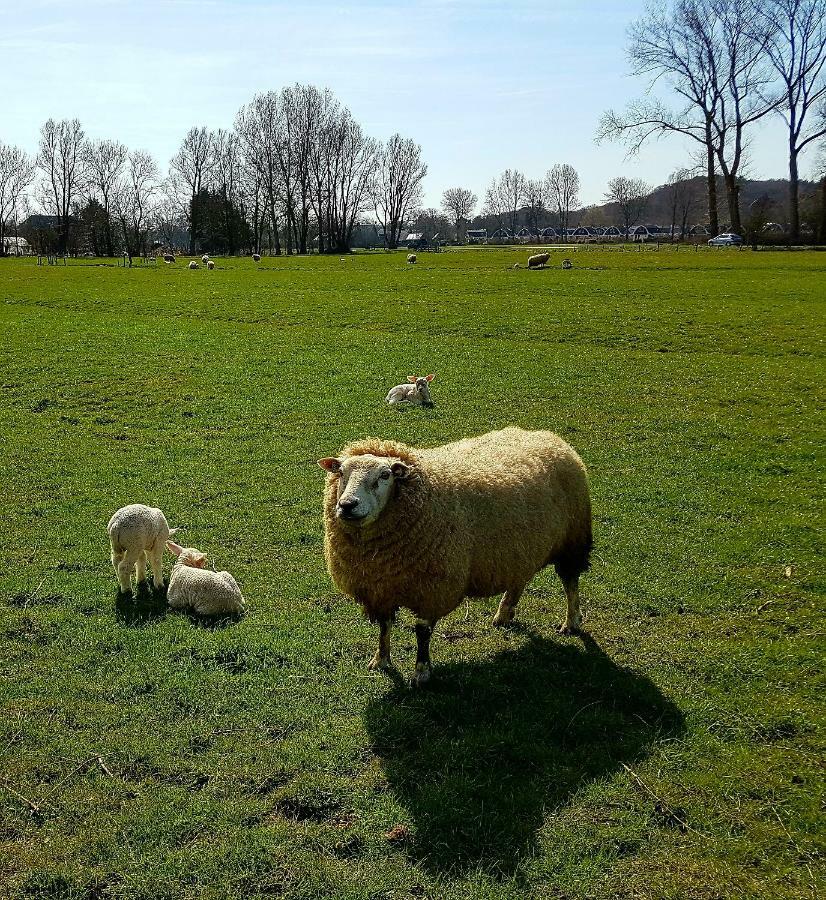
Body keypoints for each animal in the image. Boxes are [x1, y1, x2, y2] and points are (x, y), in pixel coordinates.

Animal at [318, 426, 592, 684]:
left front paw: (422, 673)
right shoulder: (380, 590)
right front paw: (380, 660)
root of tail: (548, 436)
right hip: (519, 548)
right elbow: (384, 627)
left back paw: (571, 622)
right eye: (340, 472)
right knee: (519, 580)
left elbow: (422, 633)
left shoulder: (433, 589)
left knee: (570, 582)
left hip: (572, 539)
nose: (347, 505)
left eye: (385, 475)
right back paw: (504, 614)